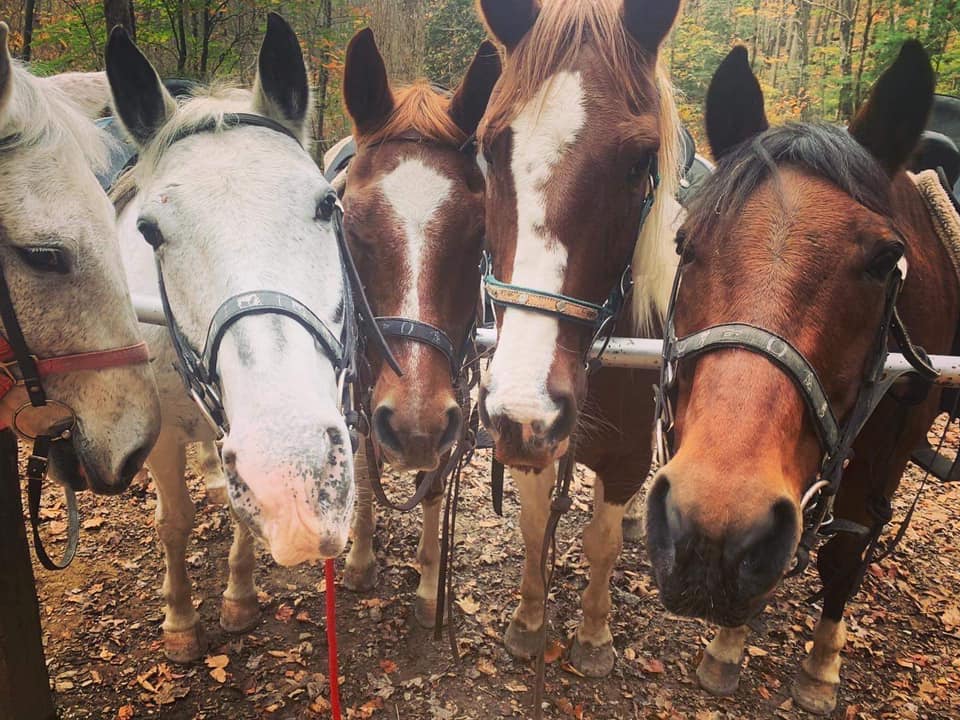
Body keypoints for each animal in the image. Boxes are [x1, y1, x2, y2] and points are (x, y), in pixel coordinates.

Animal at [104, 15, 359, 662]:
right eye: (149, 231)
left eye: (328, 203)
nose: (294, 481)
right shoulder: (164, 437)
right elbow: (173, 523)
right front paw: (180, 620)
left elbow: (242, 521)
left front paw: (239, 598)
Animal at [334, 28, 500, 627]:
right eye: (351, 228)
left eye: (479, 234)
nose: (413, 426)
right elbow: (363, 468)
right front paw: (359, 560)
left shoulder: (455, 400)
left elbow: (433, 488)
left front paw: (430, 589)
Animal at [474, 0, 684, 677]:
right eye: (488, 150)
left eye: (639, 162)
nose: (524, 407)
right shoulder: (531, 448)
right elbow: (536, 524)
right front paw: (529, 620)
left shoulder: (625, 460)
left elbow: (602, 541)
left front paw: (593, 634)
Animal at [645, 43, 958, 715]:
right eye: (685, 243)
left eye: (884, 260)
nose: (712, 534)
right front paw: (728, 645)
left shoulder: (888, 458)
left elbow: (843, 555)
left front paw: (821, 665)